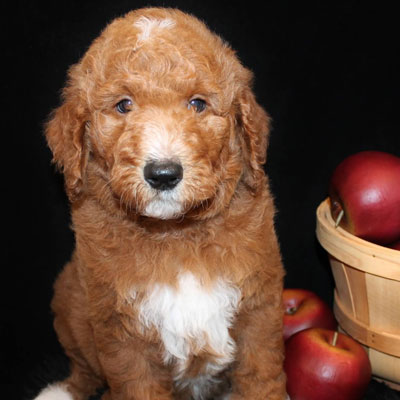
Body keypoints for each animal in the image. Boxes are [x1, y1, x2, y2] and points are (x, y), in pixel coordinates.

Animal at [34, 6, 286, 400]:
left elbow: (262, 377)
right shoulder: (120, 333)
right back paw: (60, 390)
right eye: (123, 105)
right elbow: (137, 386)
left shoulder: (260, 309)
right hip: (69, 302)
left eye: (198, 104)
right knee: (83, 371)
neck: (176, 236)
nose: (164, 173)